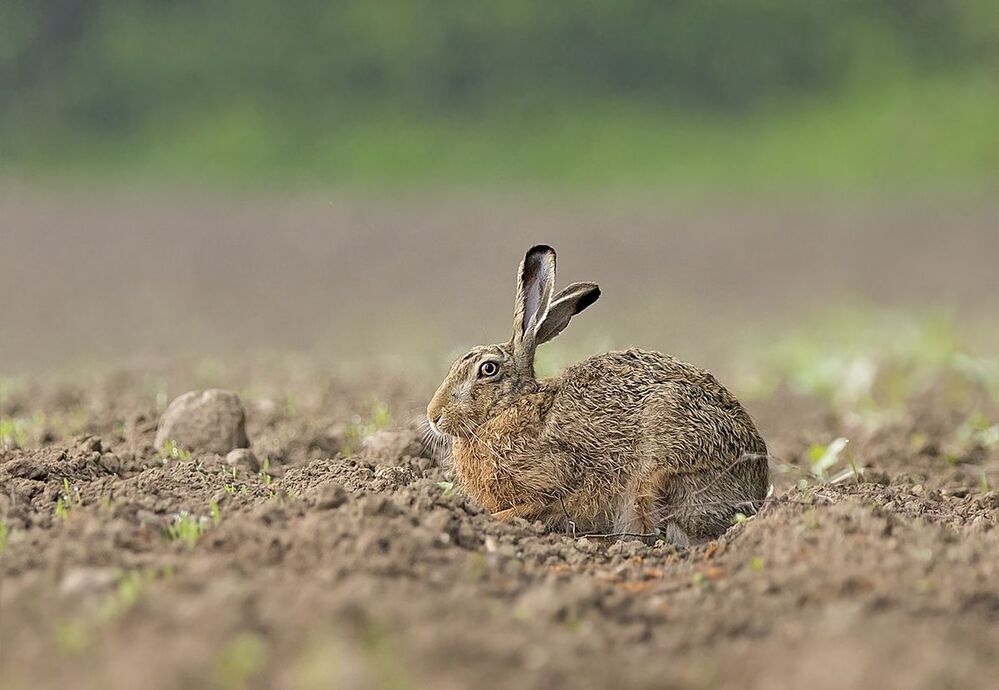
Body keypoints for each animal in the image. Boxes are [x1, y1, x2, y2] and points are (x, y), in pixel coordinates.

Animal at [426, 245, 769, 545]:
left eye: (488, 369)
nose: (433, 416)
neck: (512, 406)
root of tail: (757, 486)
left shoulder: (555, 480)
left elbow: (534, 506)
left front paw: (490, 519)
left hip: (659, 469)